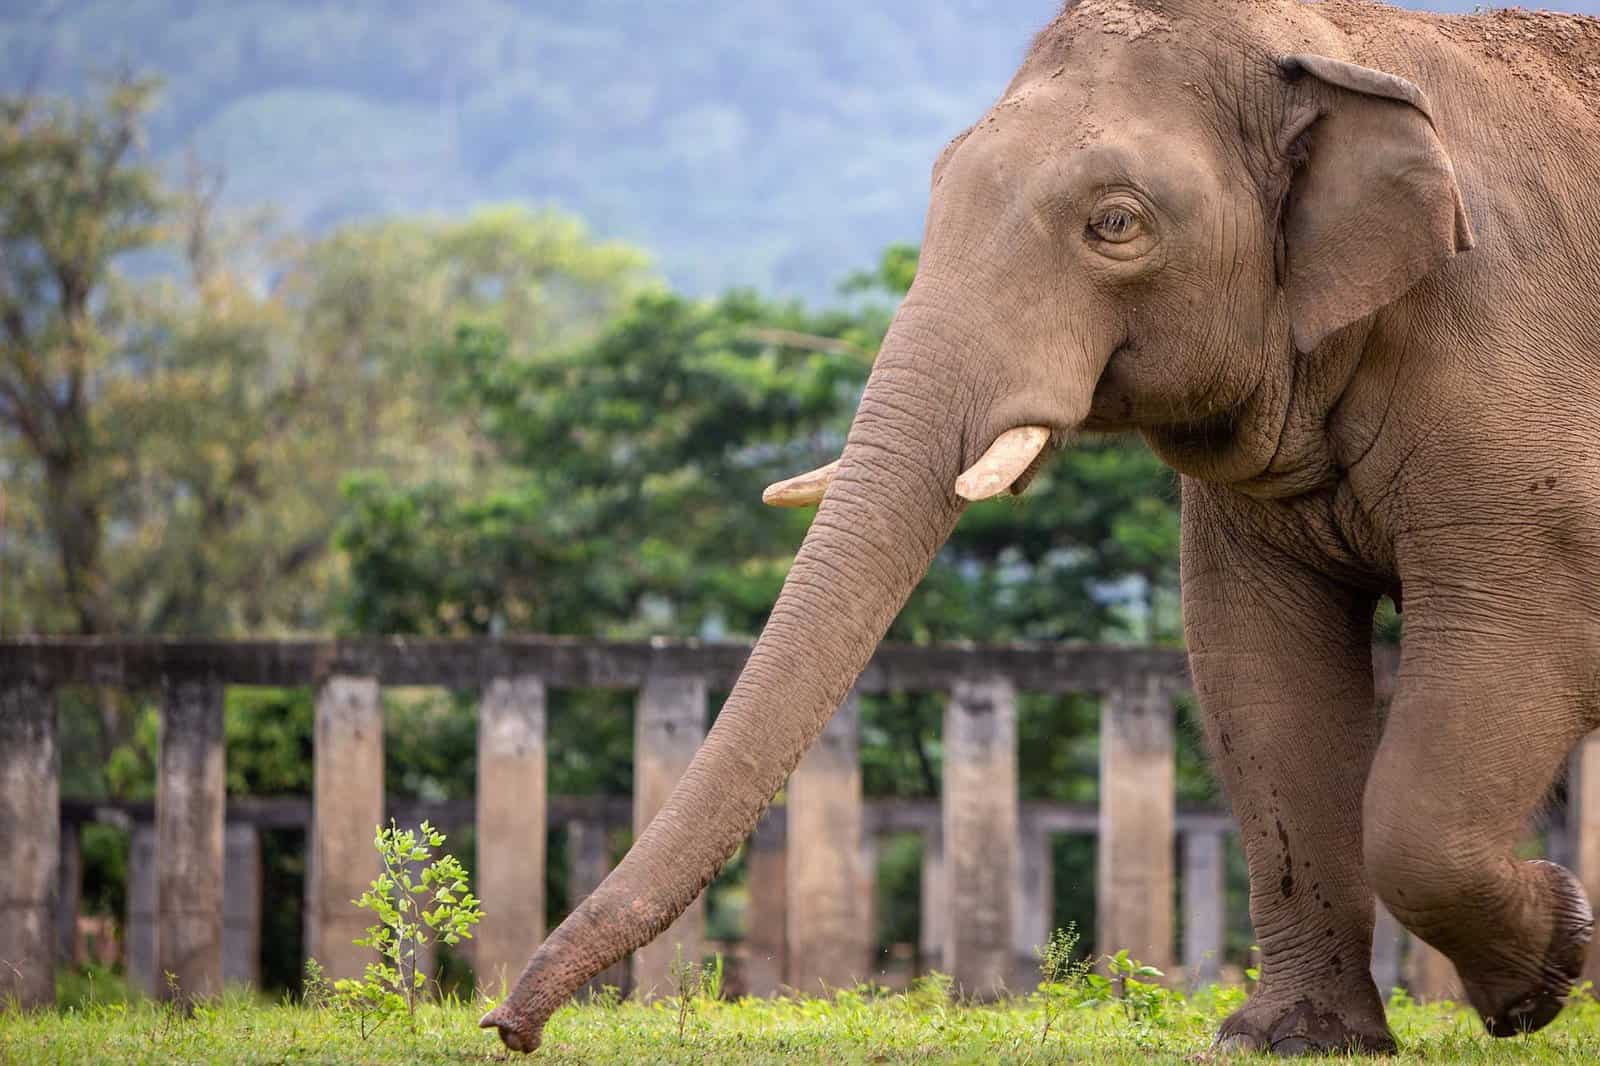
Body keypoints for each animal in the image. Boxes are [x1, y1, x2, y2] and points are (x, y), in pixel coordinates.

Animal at [481, 0, 1600, 1054]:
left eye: (1115, 222)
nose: (507, 1027)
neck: (1335, 42)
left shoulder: (1514, 387)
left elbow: (1509, 645)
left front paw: (1543, 967)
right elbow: (1258, 667)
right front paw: (1290, 1040)